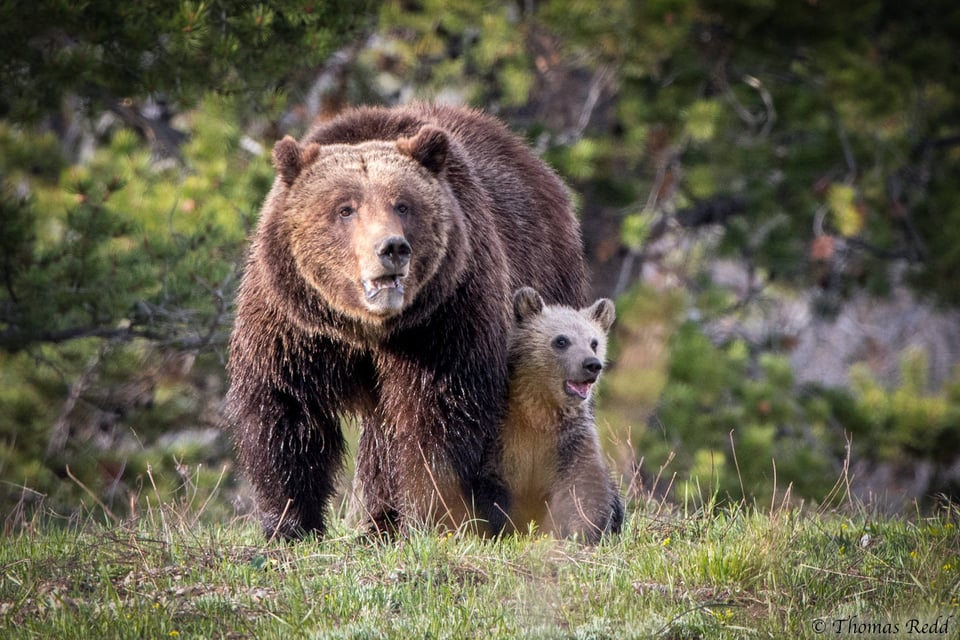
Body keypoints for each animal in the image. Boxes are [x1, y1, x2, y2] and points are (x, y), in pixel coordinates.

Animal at [227, 102, 584, 536]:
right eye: (345, 209)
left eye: (402, 204)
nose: (392, 248)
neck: (366, 329)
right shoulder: (294, 323)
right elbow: (285, 408)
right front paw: (290, 522)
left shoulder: (442, 320)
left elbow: (436, 416)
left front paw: (431, 516)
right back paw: (378, 522)